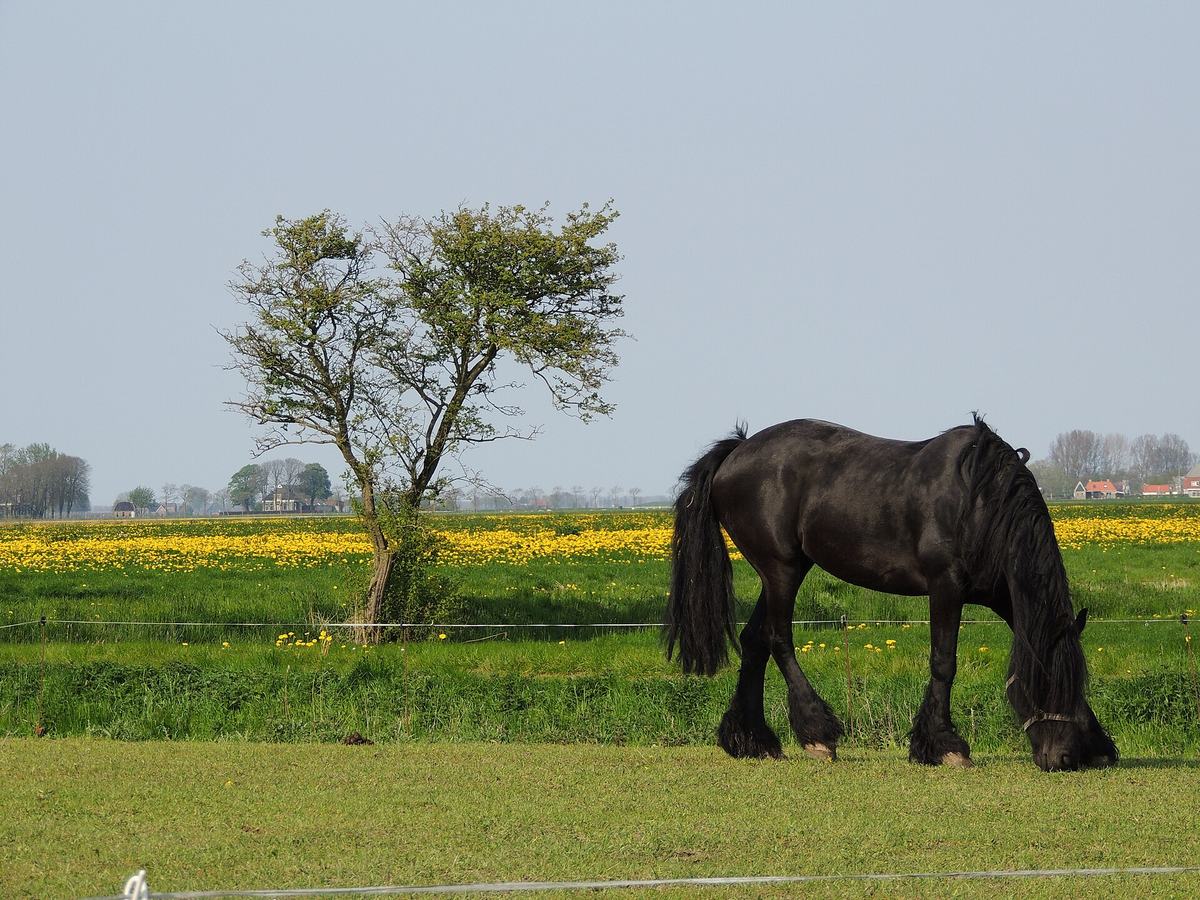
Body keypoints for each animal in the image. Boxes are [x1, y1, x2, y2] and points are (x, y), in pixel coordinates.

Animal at [665, 416, 1117, 772]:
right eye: (1046, 680)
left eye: (1074, 680)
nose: (1062, 758)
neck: (982, 504)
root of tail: (738, 451)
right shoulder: (946, 586)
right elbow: (943, 662)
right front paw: (945, 746)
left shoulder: (998, 593)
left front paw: (1097, 743)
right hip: (781, 570)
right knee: (777, 639)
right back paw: (817, 734)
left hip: (784, 571)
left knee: (754, 642)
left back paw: (752, 740)